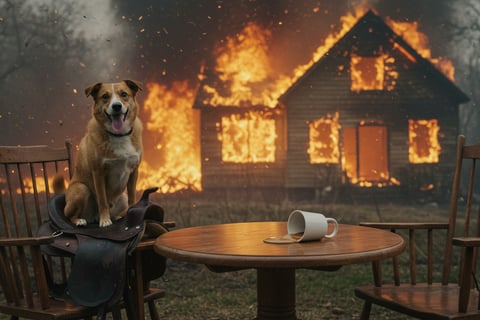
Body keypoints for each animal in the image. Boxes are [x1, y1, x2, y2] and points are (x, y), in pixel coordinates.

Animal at [54, 80, 142, 228]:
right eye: (105, 96)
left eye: (124, 94)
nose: (116, 106)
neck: (118, 135)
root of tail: (93, 218)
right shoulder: (98, 173)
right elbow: (102, 200)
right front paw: (105, 220)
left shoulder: (134, 171)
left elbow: (132, 197)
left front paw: (133, 212)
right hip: (81, 189)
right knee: (69, 216)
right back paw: (80, 220)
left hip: (121, 198)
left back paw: (117, 216)